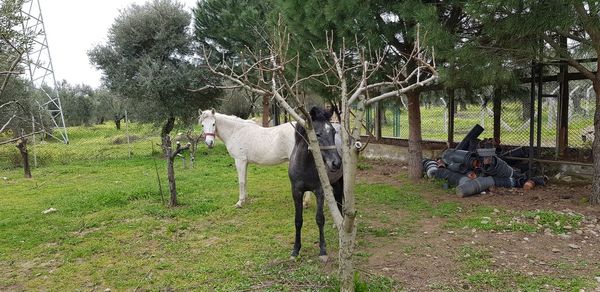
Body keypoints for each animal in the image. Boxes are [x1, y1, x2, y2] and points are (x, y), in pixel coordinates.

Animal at [290, 106, 344, 260]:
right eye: (317, 134)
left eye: (333, 132)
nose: (336, 163)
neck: (305, 166)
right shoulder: (296, 192)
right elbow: (298, 220)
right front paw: (295, 250)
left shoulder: (320, 191)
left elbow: (320, 219)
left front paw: (323, 251)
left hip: (339, 181)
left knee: (340, 199)